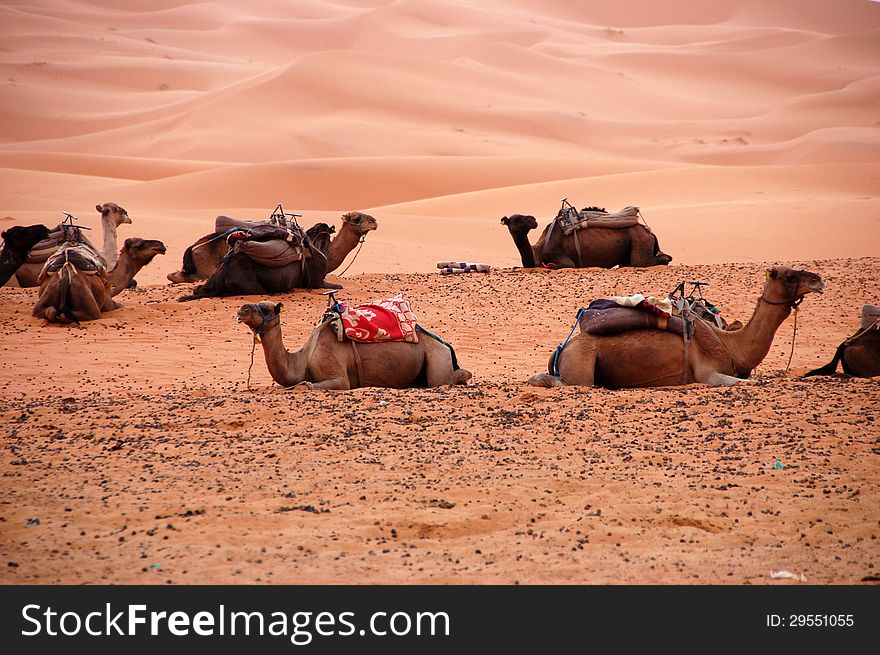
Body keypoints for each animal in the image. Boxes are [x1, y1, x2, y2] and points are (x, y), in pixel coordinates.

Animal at [230, 302, 470, 390]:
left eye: (266, 309)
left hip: (437, 359)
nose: (241, 309)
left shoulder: (338, 377)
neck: (303, 359)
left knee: (447, 378)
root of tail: (445, 345)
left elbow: (306, 386)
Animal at [502, 205, 672, 270]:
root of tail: (649, 231)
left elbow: (553, 266)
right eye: (517, 219)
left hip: (640, 242)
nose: (533, 219)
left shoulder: (565, 260)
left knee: (648, 261)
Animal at [528, 266, 824, 390]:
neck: (731, 344)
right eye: (789, 275)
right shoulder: (709, 374)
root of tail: (563, 347)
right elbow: (751, 382)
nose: (818, 280)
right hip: (581, 365)